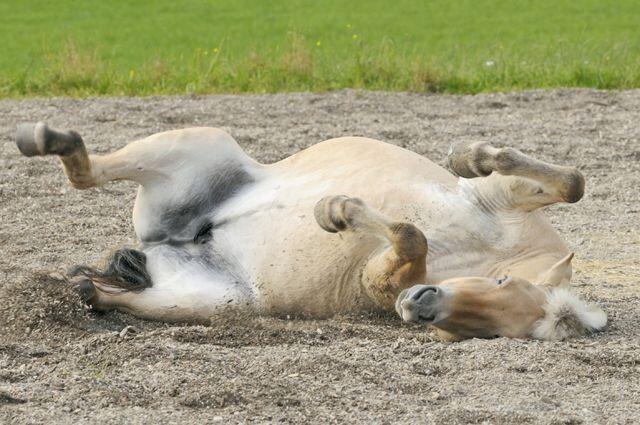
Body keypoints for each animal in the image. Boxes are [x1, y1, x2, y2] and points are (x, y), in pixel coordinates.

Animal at [13, 121, 604, 340]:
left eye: (486, 333)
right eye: (506, 284)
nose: (423, 305)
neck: (481, 259)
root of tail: (184, 240)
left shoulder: (379, 279)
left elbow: (409, 236)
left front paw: (338, 209)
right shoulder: (499, 199)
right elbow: (572, 182)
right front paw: (471, 155)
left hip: (217, 300)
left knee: (115, 290)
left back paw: (83, 290)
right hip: (197, 141)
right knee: (87, 171)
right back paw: (46, 138)